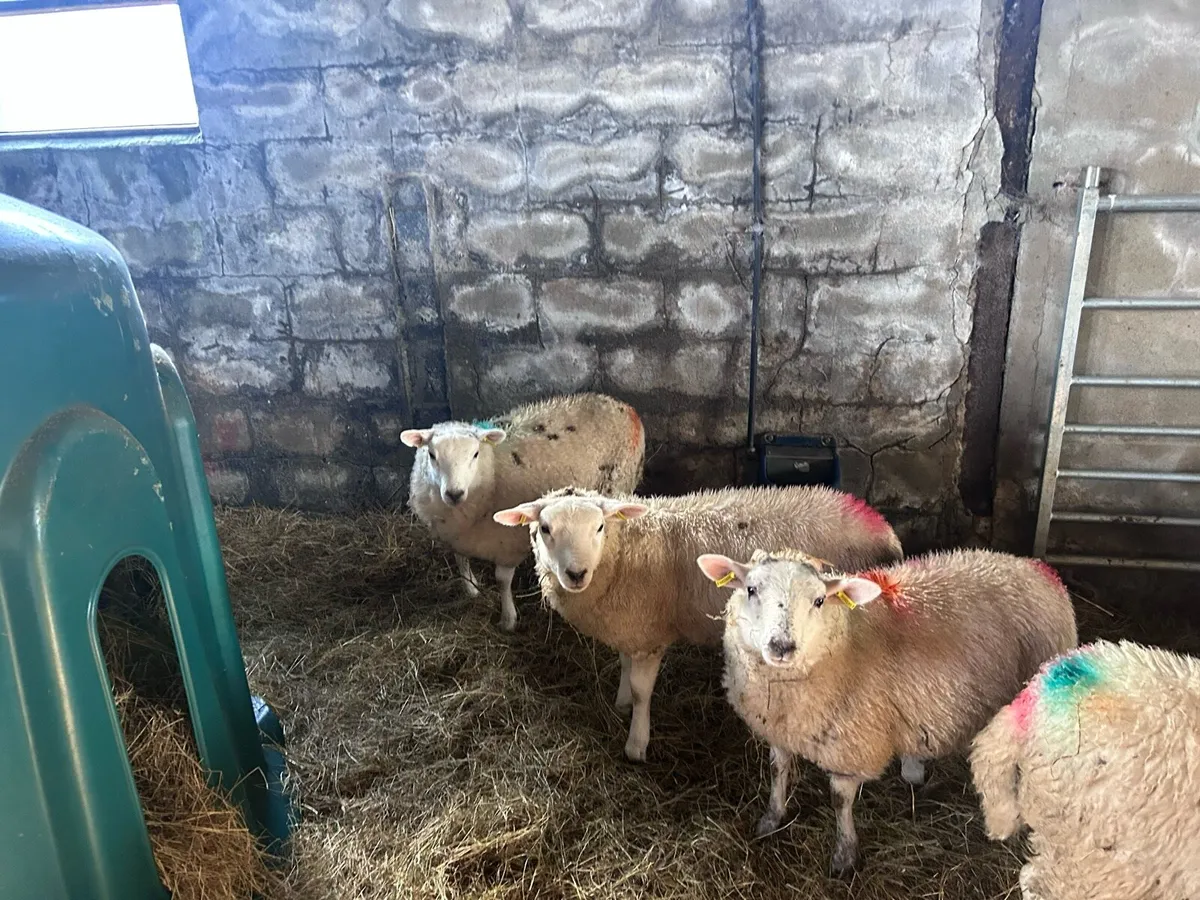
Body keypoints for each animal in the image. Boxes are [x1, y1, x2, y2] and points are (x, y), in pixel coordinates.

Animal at [401, 393, 644, 631]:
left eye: (475, 454)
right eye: (432, 455)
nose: (454, 493)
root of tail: (623, 406)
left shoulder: (508, 543)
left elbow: (502, 580)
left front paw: (508, 620)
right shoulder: (455, 535)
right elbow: (460, 559)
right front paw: (471, 589)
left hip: (619, 481)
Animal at [492, 485, 903, 762]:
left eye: (599, 528)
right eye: (545, 528)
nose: (576, 574)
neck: (624, 553)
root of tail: (884, 528)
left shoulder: (651, 635)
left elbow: (643, 691)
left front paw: (636, 743)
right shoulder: (632, 625)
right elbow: (624, 665)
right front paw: (621, 702)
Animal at [698, 547, 1077, 875]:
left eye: (819, 600)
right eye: (751, 589)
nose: (782, 646)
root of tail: (1037, 568)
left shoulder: (851, 747)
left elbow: (839, 801)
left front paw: (844, 855)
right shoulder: (778, 731)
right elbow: (778, 772)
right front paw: (771, 818)